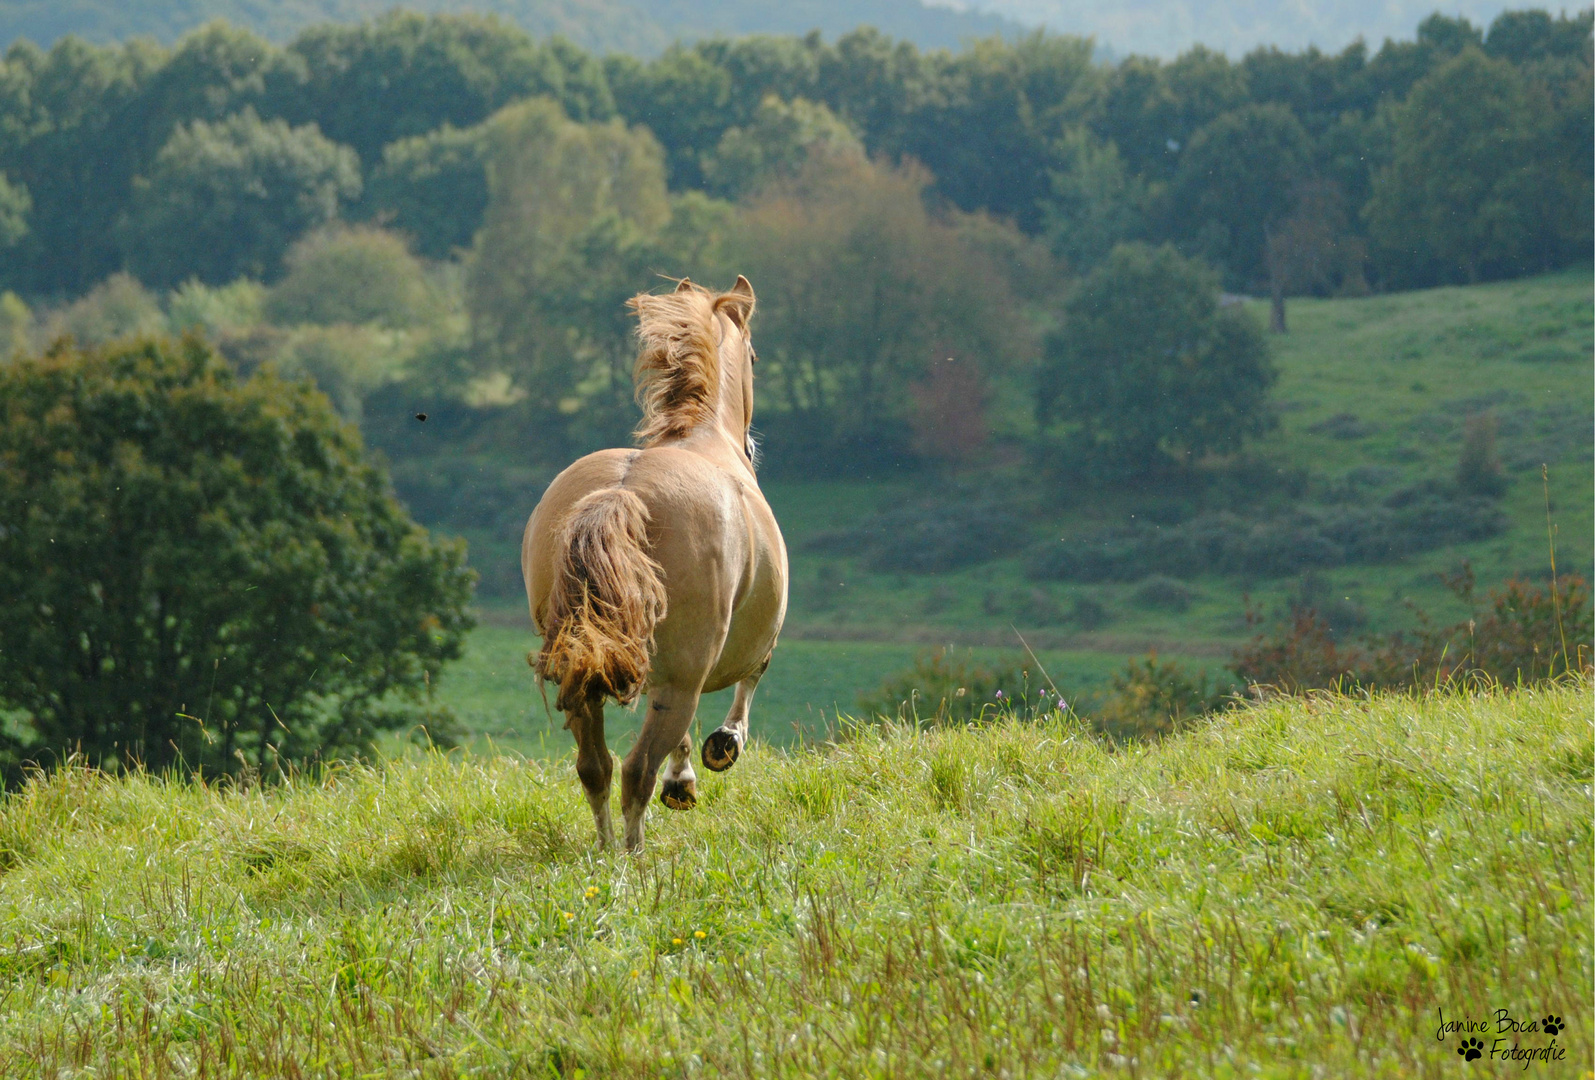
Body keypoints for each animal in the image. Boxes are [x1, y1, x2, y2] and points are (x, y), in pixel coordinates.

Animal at [526, 275, 787, 848]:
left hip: (583, 671)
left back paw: (605, 852)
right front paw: (721, 748)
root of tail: (621, 492)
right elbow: (751, 681)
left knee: (596, 768)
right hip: (680, 679)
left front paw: (684, 778)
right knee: (636, 769)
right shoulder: (751, 641)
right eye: (755, 354)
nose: (754, 449)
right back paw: (633, 855)